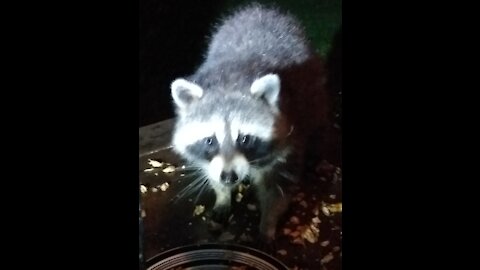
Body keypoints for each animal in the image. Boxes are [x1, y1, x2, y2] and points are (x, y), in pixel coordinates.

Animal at [169, 2, 330, 243]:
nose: (229, 176)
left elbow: (277, 188)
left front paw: (268, 224)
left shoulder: (288, 139)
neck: (229, 82)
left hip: (313, 93)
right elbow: (212, 171)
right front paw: (222, 196)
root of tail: (261, 9)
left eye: (244, 139)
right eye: (210, 140)